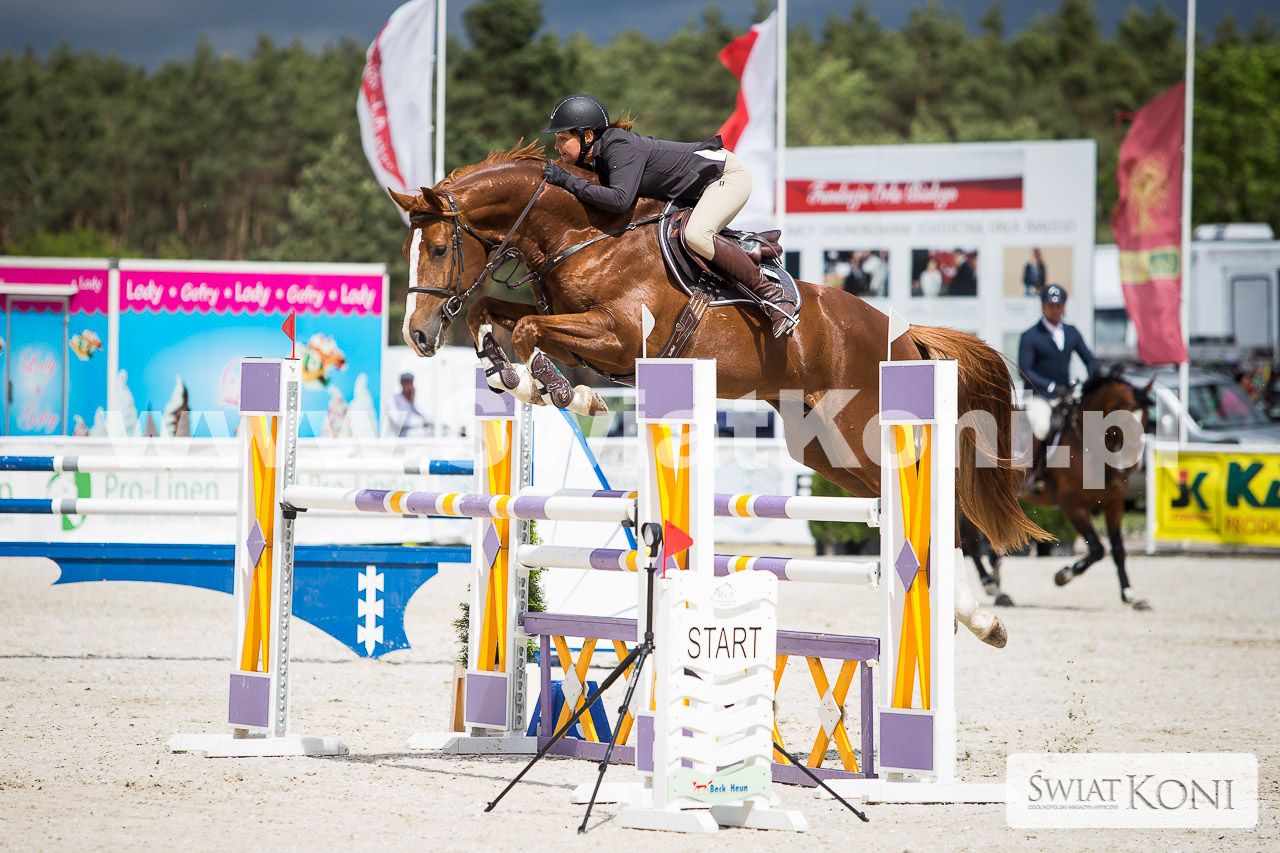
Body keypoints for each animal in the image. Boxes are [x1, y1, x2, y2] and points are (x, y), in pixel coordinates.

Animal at [391, 142, 1049, 647]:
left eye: (441, 248)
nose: (418, 336)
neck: (581, 234)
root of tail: (903, 332)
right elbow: (491, 311)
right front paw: (511, 373)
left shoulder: (621, 336)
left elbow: (529, 330)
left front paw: (557, 390)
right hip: (827, 448)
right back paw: (974, 617)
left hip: (861, 428)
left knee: (941, 501)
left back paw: (980, 617)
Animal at [962, 370, 1155, 610]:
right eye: (1123, 419)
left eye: (1145, 419)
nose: (1130, 466)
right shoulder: (1073, 504)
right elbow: (1097, 549)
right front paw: (1063, 576)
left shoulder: (1114, 503)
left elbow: (1118, 548)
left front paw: (1130, 595)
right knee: (970, 538)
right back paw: (992, 586)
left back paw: (997, 585)